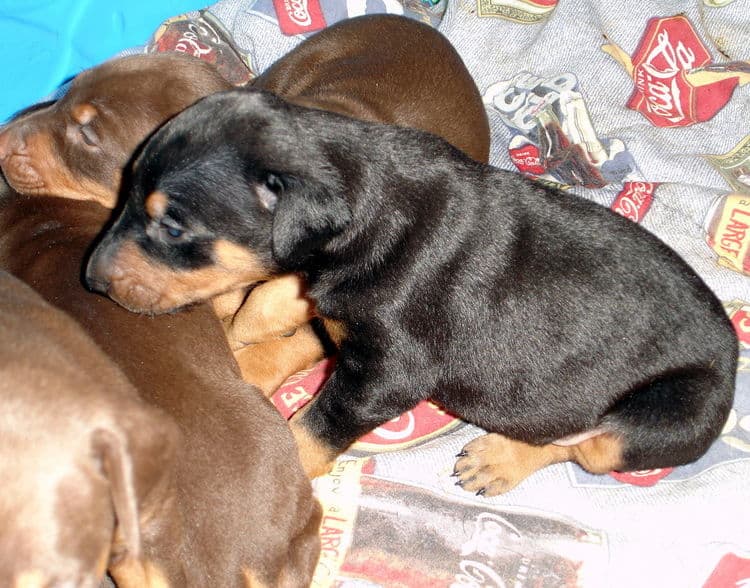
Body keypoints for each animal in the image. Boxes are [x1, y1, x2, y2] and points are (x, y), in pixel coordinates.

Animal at [83, 89, 740, 494]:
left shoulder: (386, 374)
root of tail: (735, 354)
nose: (90, 281)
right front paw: (237, 342)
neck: (364, 208)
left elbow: (311, 429)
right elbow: (278, 303)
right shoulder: (323, 302)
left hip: (663, 418)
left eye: (173, 227)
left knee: (582, 444)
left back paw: (498, 459)